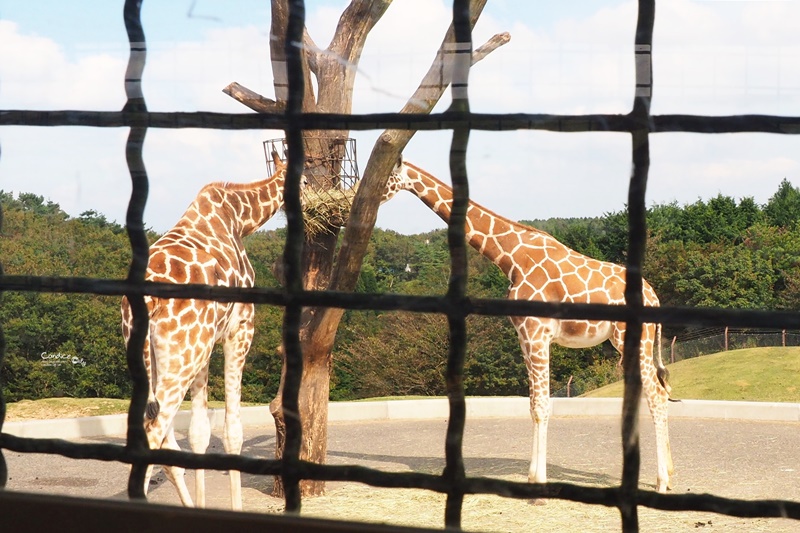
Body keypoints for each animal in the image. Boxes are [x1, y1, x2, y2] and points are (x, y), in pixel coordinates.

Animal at [120, 153, 302, 508]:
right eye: (303, 179)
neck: (238, 218)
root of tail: (145, 301)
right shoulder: (239, 328)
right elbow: (232, 431)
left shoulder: (205, 346)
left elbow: (199, 433)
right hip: (181, 358)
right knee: (153, 433)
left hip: (165, 357)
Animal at [382, 156, 676, 492]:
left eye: (388, 176)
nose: (363, 193)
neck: (511, 258)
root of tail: (654, 297)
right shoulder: (523, 336)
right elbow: (533, 403)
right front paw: (532, 475)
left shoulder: (537, 333)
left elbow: (542, 406)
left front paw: (539, 479)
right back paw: (668, 473)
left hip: (633, 339)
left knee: (656, 394)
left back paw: (661, 481)